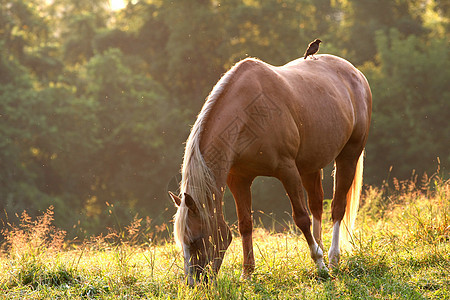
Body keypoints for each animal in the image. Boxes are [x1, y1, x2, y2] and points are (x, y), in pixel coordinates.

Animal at [169, 54, 372, 284]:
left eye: (196, 240)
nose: (193, 284)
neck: (247, 114)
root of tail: (355, 74)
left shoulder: (287, 170)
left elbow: (301, 218)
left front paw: (319, 265)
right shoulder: (238, 179)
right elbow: (245, 224)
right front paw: (247, 273)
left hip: (348, 156)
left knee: (337, 207)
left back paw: (332, 259)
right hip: (310, 166)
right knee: (317, 205)